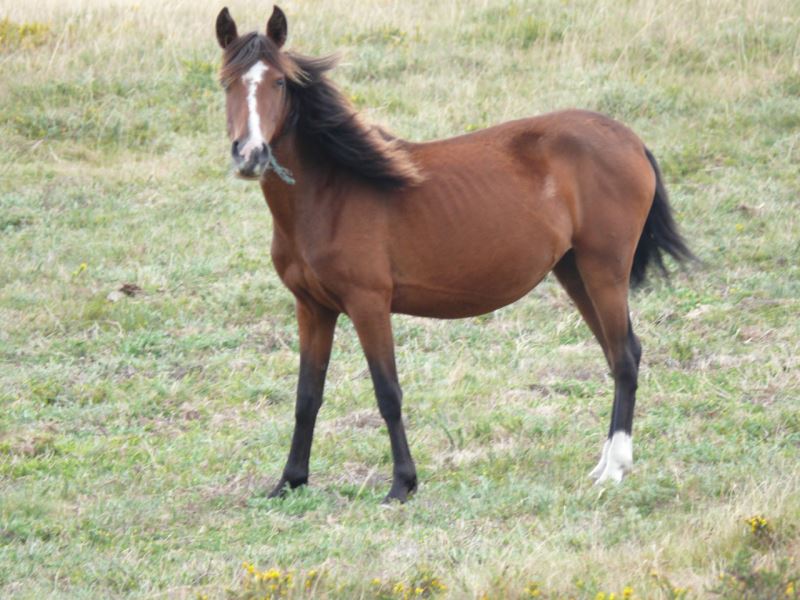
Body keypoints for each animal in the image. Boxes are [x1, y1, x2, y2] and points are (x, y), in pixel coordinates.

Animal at [214, 5, 692, 502]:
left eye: (279, 82)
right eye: (225, 82)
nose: (250, 155)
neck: (330, 194)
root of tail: (631, 140)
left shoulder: (369, 304)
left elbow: (388, 392)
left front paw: (402, 484)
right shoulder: (312, 308)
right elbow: (307, 396)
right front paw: (290, 480)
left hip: (605, 271)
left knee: (624, 356)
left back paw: (615, 468)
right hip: (575, 272)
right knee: (617, 355)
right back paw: (604, 464)